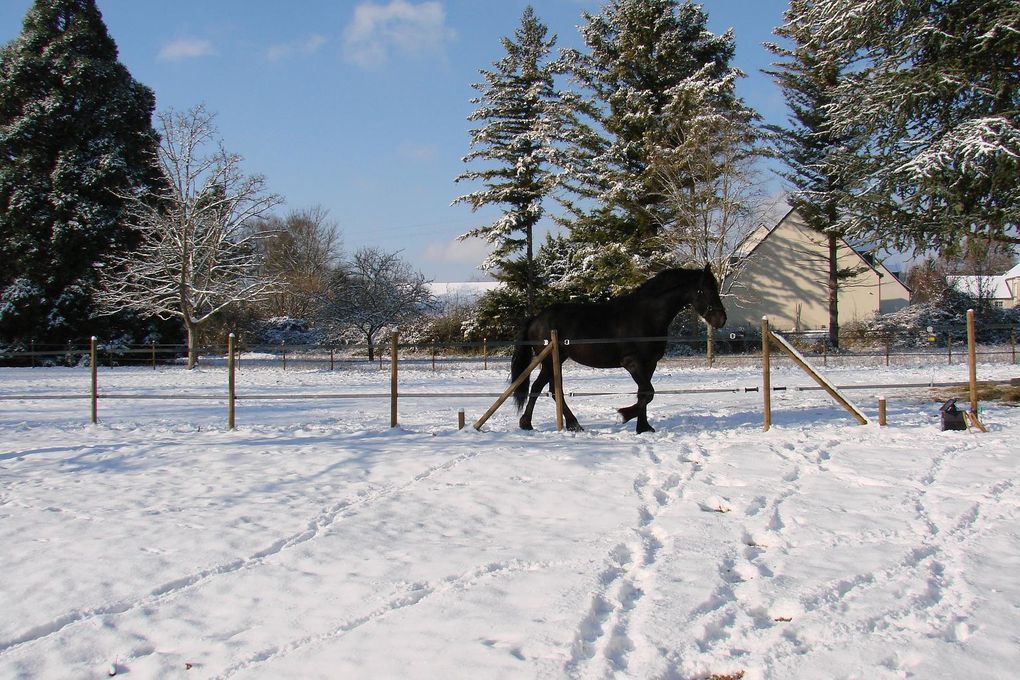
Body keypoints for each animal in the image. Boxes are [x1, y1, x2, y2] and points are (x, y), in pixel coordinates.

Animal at [510, 267, 726, 436]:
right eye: (702, 290)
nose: (721, 319)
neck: (646, 315)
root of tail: (536, 318)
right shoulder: (631, 362)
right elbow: (648, 392)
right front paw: (623, 415)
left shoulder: (650, 364)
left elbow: (643, 393)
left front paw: (643, 428)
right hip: (549, 360)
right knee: (543, 389)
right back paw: (540, 424)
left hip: (555, 360)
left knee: (547, 389)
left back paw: (556, 424)